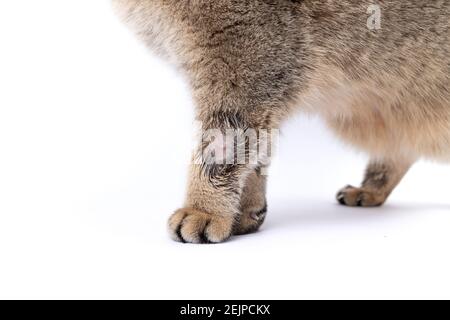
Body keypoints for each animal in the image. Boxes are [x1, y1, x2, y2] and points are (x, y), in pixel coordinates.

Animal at [111, 0, 450, 242]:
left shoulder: (246, 68)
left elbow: (219, 152)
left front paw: (204, 209)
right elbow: (255, 153)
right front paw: (247, 212)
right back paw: (371, 190)